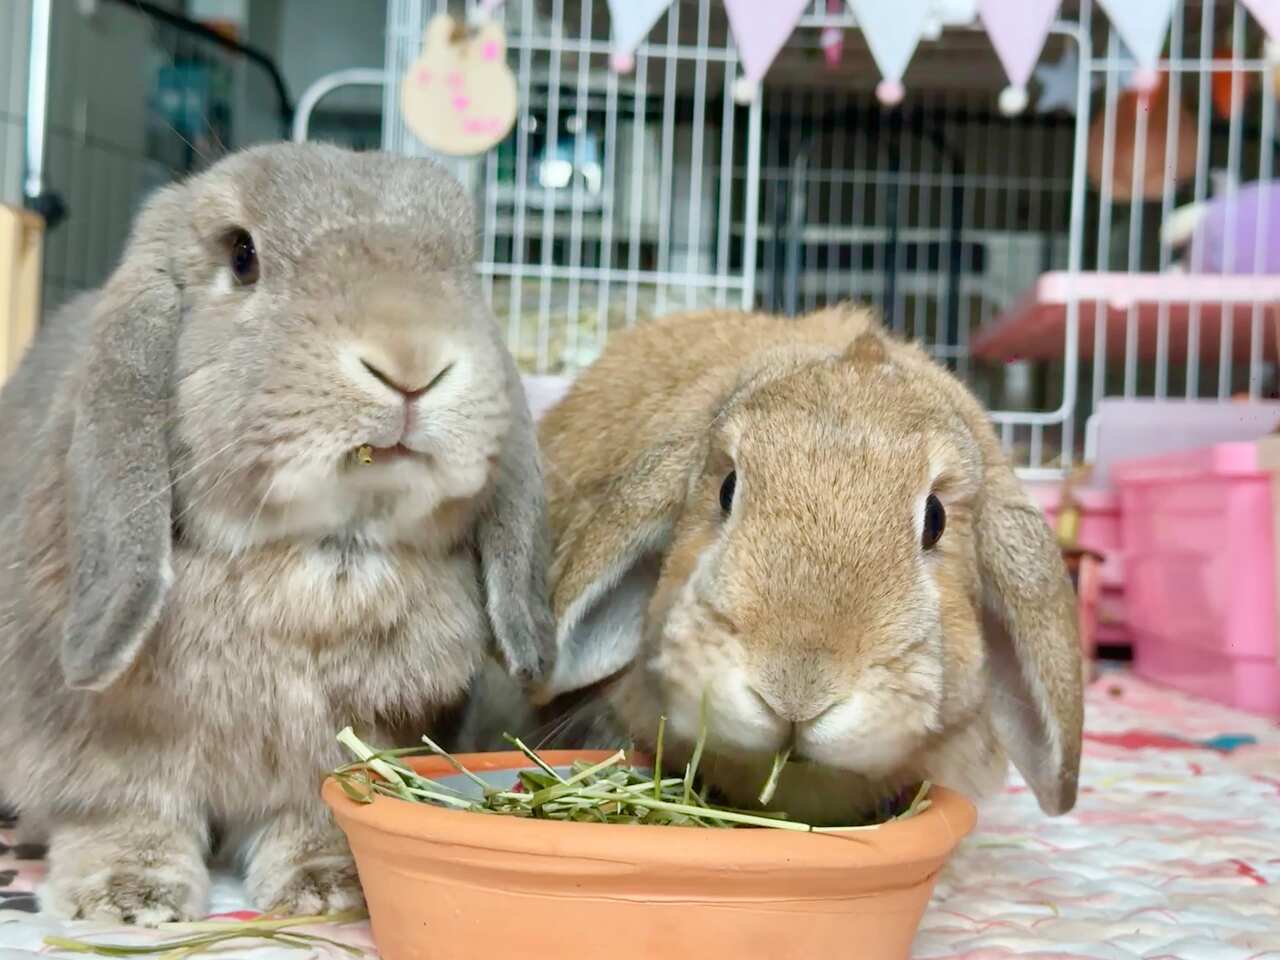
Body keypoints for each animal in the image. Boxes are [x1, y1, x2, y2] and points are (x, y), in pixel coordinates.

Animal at [0, 141, 554, 923]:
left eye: (468, 265)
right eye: (242, 256)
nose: (411, 361)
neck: (327, 556)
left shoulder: (352, 742)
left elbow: (320, 809)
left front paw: (326, 887)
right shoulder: (101, 747)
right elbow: (125, 812)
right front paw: (128, 898)